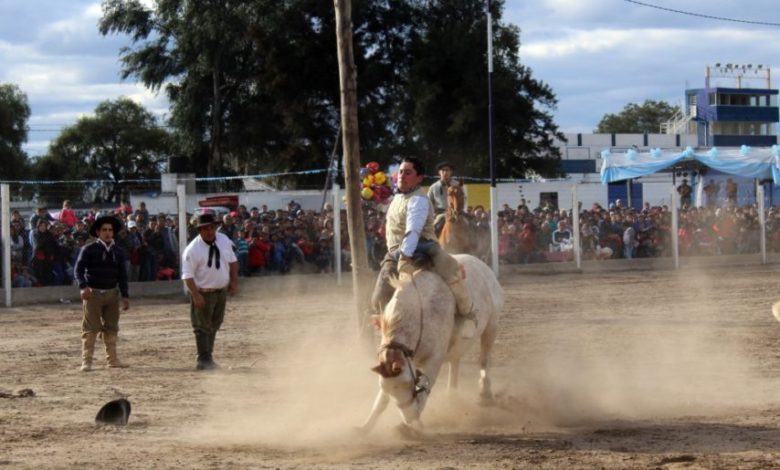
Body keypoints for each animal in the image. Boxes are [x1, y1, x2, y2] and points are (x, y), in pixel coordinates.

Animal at [361, 254, 504, 434]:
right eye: (390, 390)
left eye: (408, 384)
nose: (408, 417)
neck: (417, 315)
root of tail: (482, 266)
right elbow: (381, 401)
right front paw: (366, 426)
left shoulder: (434, 361)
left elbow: (424, 390)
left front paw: (410, 425)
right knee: (455, 362)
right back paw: (452, 396)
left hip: (492, 326)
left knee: (484, 360)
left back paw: (485, 394)